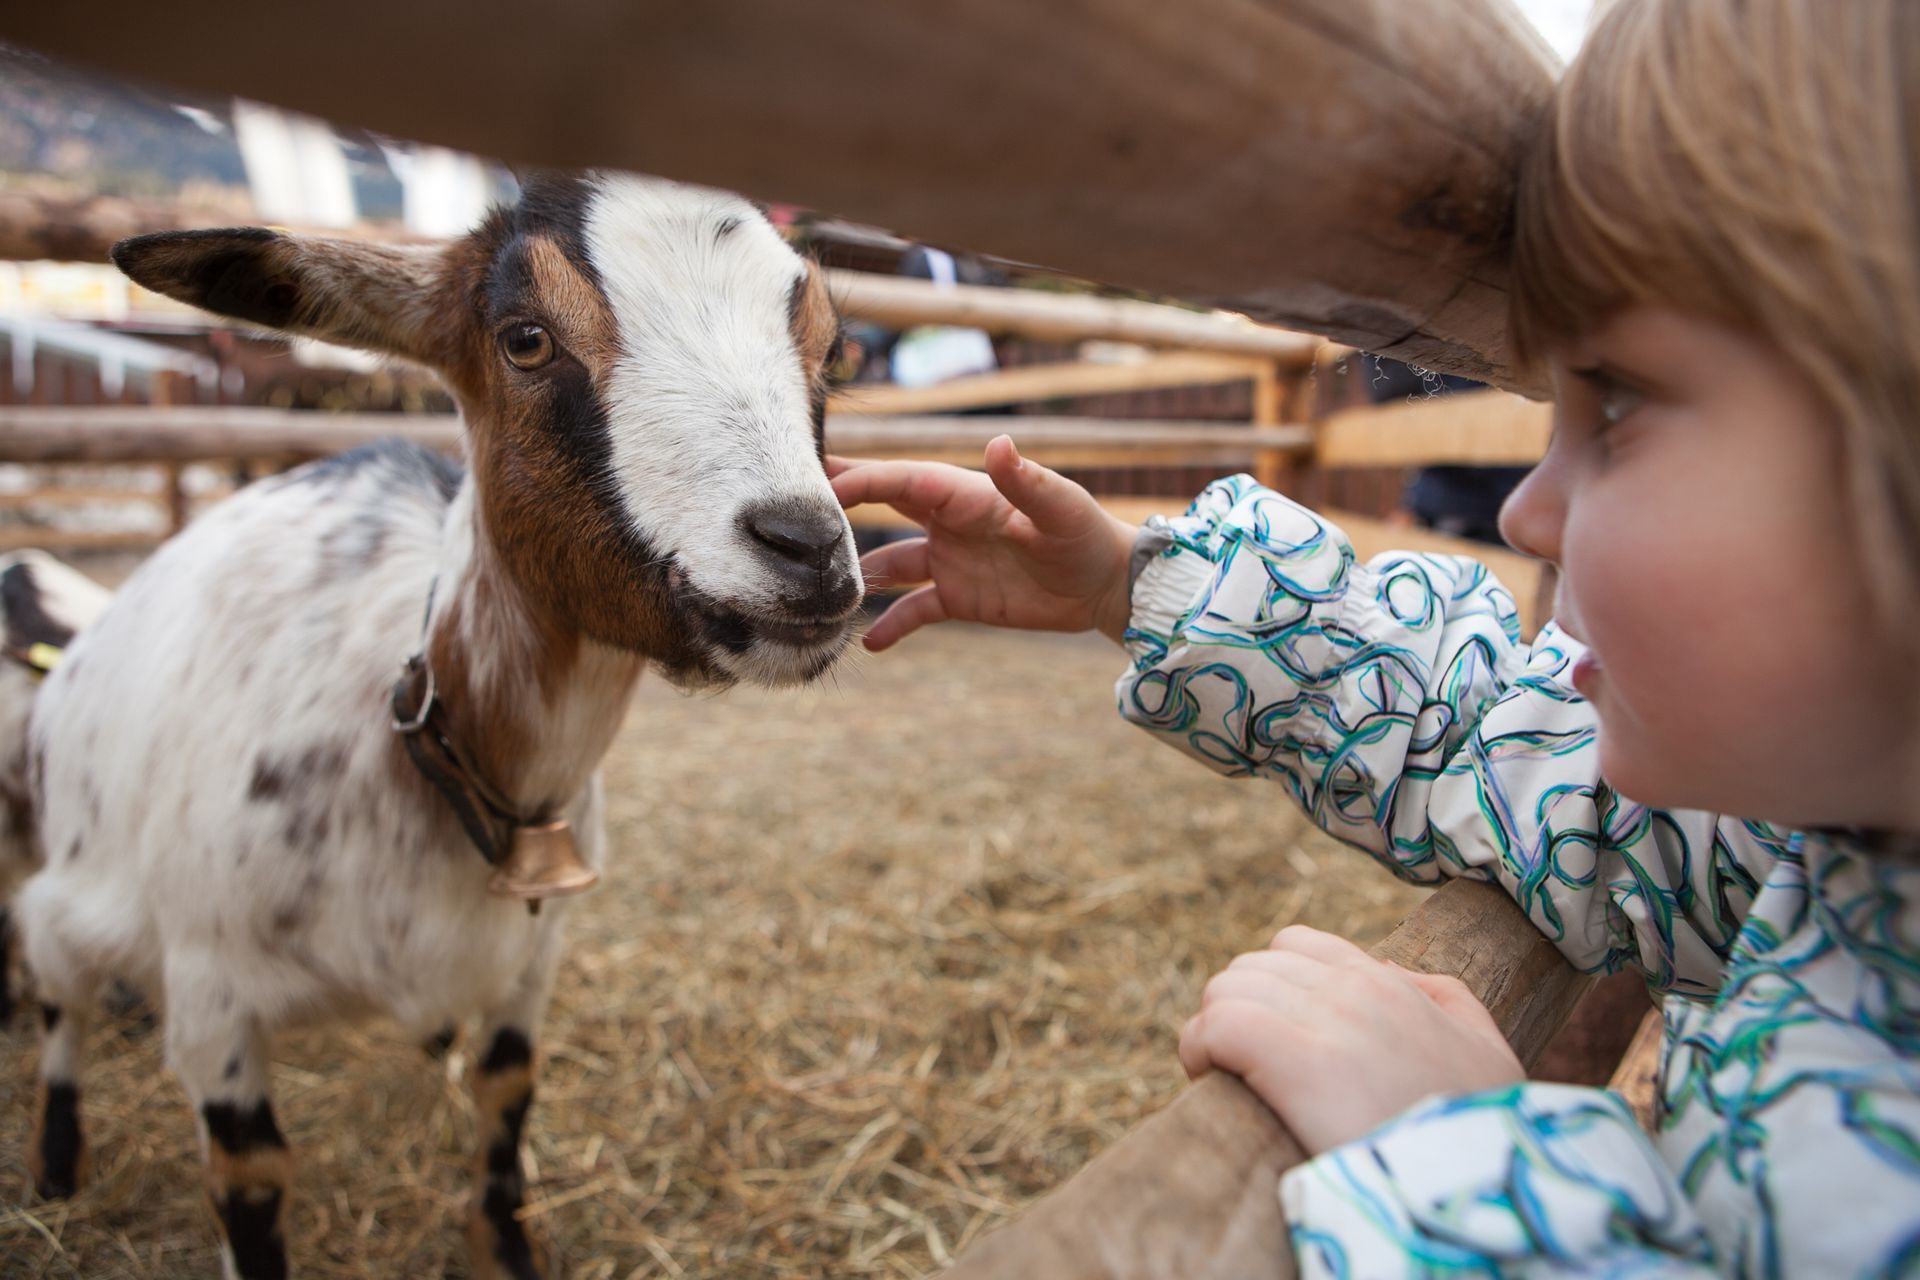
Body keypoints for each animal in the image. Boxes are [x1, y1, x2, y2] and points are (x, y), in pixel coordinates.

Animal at [15, 172, 862, 1280]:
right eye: (525, 337)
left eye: (832, 346)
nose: (807, 549)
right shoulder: (212, 1001)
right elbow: (252, 1179)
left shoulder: (531, 964)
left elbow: (506, 1095)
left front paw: (505, 1244)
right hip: (73, 893)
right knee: (55, 994)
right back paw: (55, 1161)